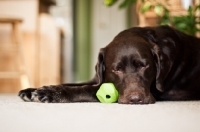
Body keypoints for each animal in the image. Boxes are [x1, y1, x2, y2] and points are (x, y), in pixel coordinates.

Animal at [19, 25, 200, 104]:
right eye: (116, 69)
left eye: (144, 66)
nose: (136, 99)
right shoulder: (97, 78)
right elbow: (72, 83)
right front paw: (32, 90)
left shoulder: (155, 90)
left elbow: (85, 89)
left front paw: (52, 93)